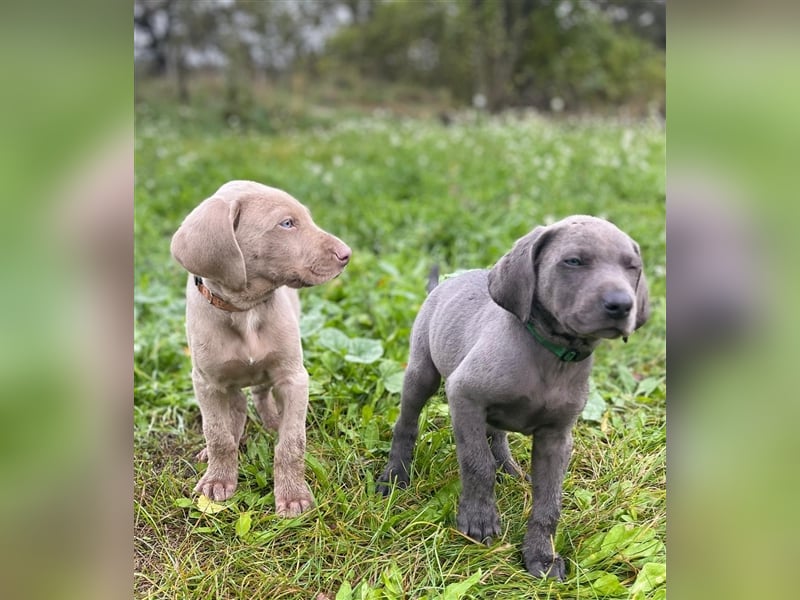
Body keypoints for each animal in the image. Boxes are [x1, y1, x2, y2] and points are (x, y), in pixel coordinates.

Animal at [376, 214, 648, 576]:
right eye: (573, 261)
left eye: (632, 267)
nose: (621, 305)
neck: (553, 357)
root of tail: (444, 284)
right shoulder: (463, 395)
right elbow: (477, 464)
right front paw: (479, 520)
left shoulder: (556, 438)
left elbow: (549, 501)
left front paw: (541, 555)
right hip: (422, 374)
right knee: (407, 423)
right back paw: (395, 476)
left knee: (496, 434)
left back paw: (508, 467)